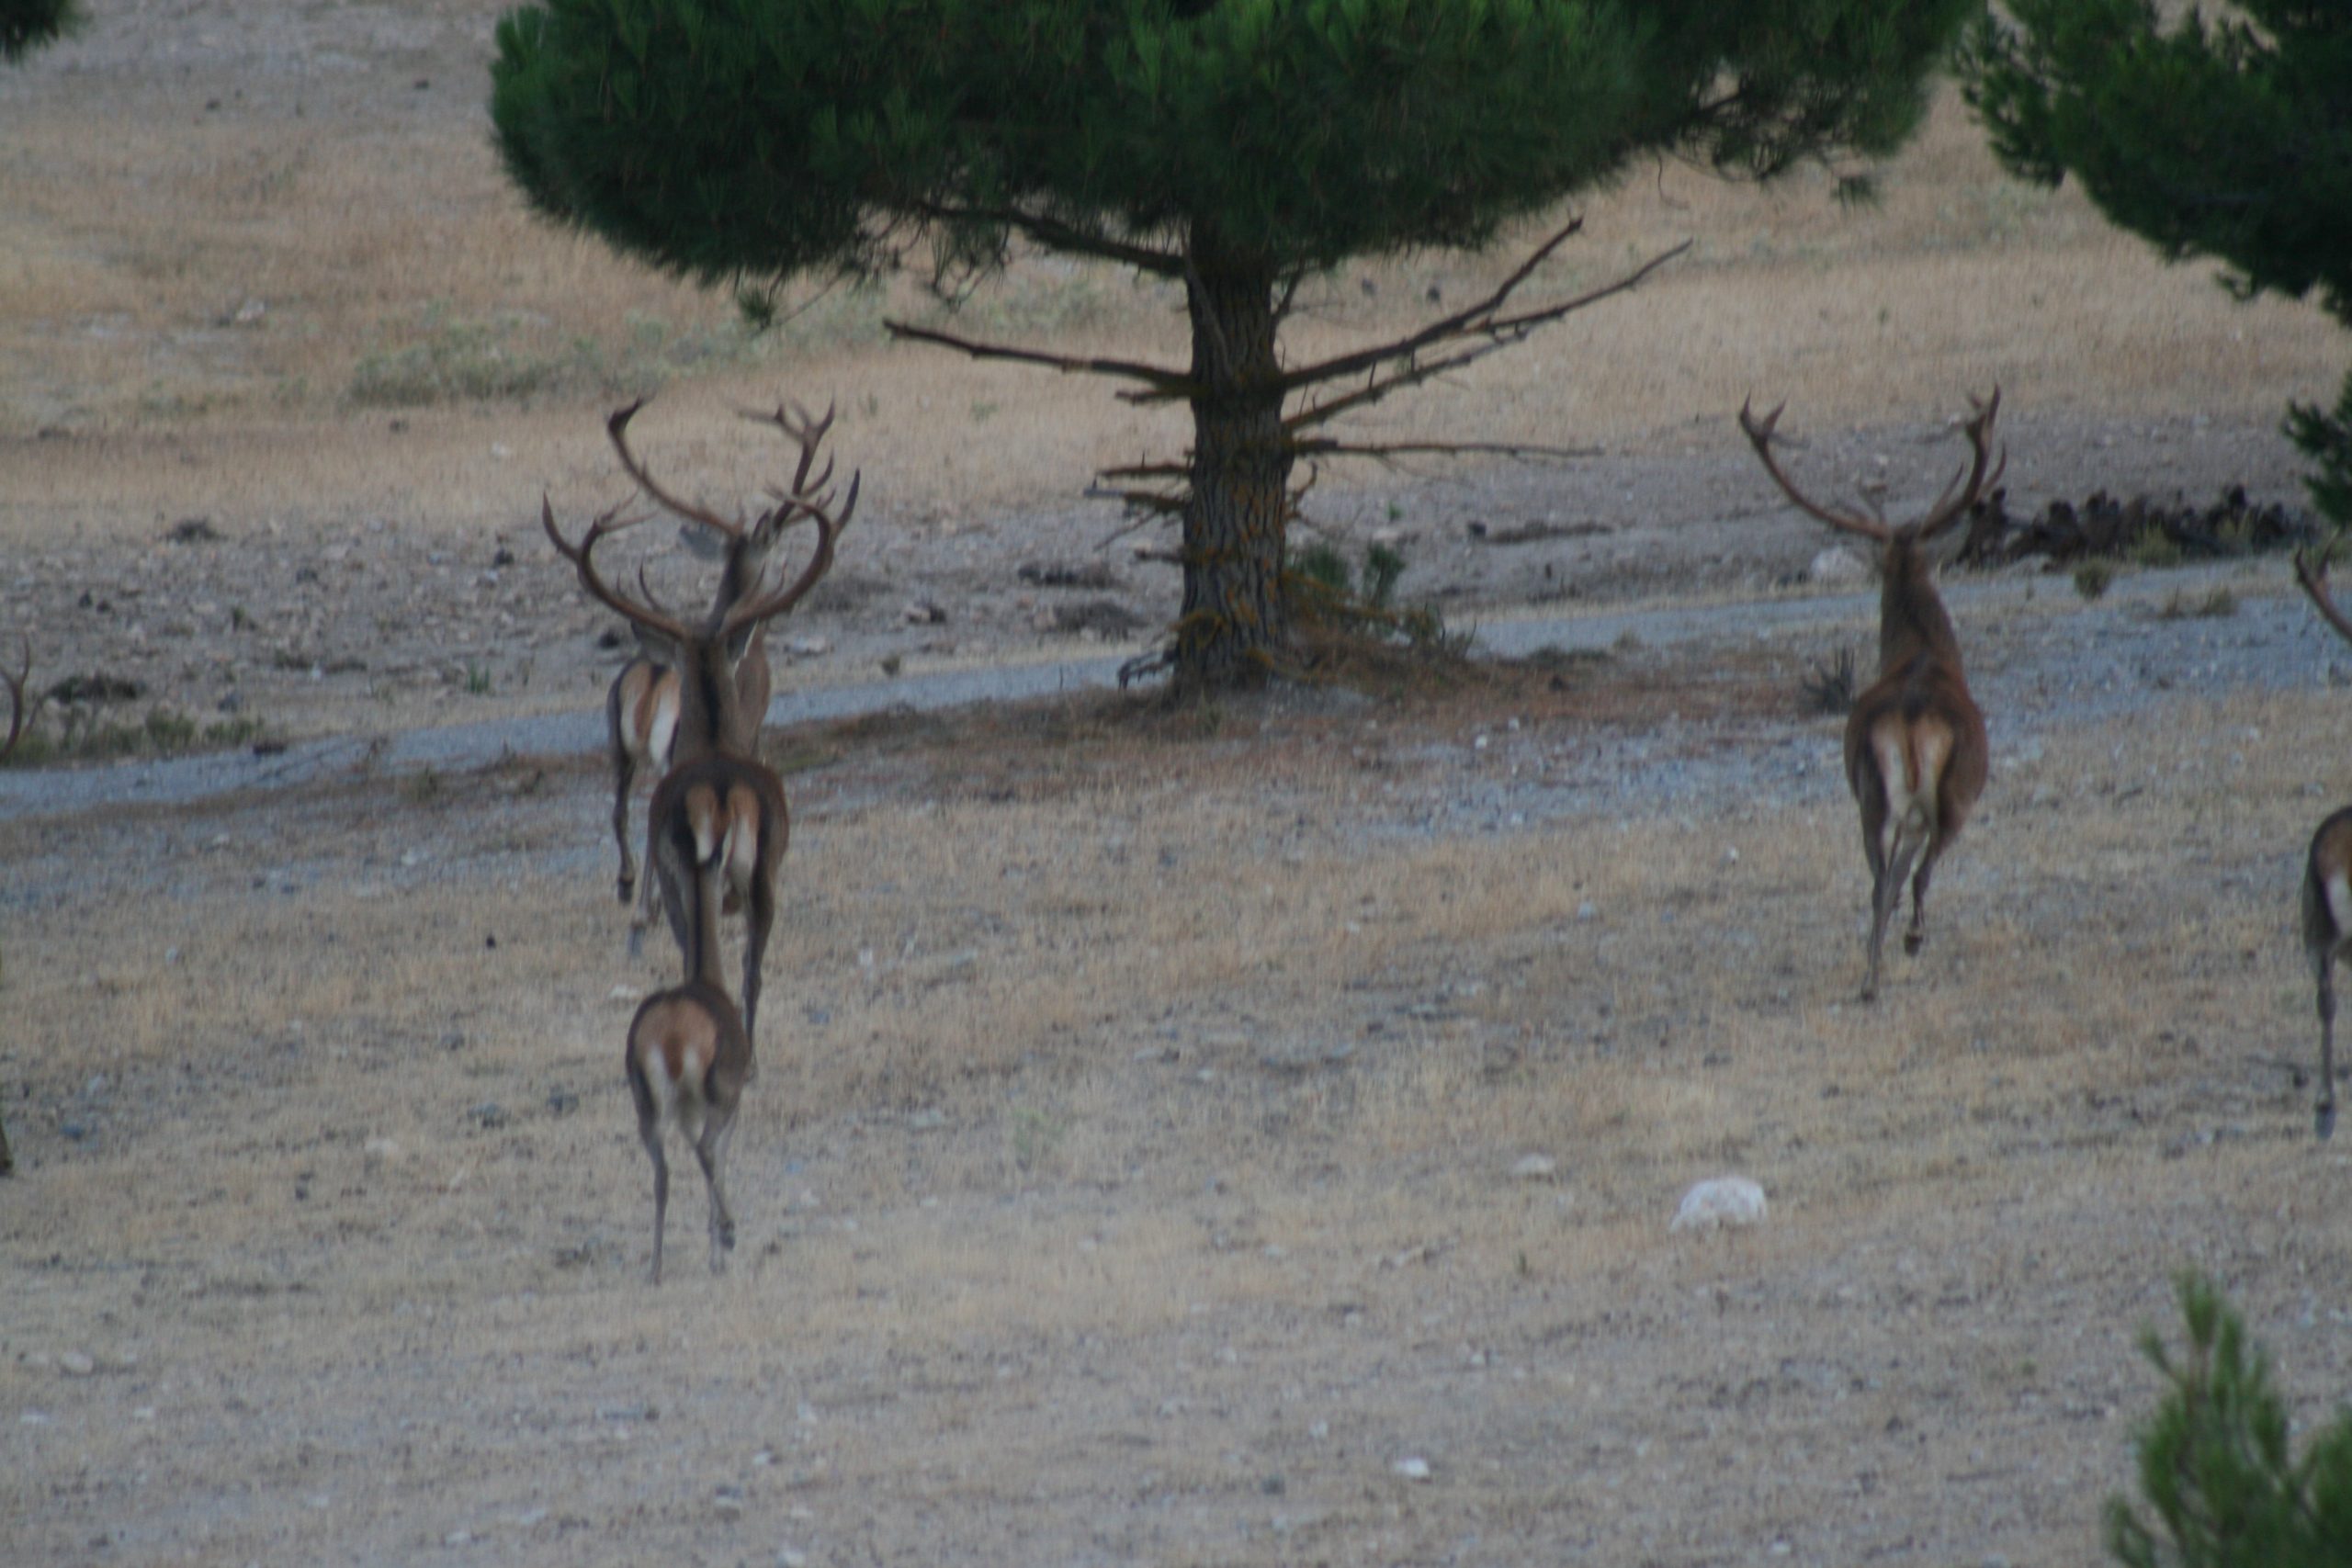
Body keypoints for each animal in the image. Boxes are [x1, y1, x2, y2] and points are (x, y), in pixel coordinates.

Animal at [599, 400, 842, 913]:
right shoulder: (751, 724)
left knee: (620, 809)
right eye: (772, 539)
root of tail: (651, 682)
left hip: (617, 740)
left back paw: (630, 887)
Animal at [1740, 390, 2001, 1002]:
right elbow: (1916, 873)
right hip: (1950, 795)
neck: (1923, 653)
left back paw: (1869, 976)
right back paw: (1902, 950)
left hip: (1870, 794)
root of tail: (1910, 717)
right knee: (1915, 872)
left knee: (1881, 880)